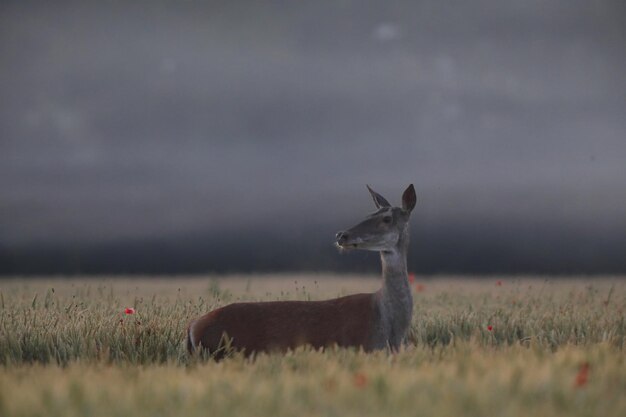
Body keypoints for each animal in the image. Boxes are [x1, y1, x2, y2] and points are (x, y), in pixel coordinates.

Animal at [188, 184, 416, 356]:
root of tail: (192, 327)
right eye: (369, 214)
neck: (388, 325)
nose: (342, 235)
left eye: (387, 218)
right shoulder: (364, 345)